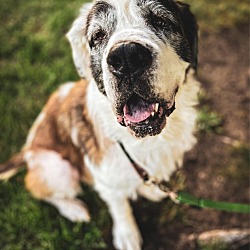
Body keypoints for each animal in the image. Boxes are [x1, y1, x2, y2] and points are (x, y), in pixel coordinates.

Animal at [0, 0, 200, 249]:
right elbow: (119, 205)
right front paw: (127, 234)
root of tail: (26, 150)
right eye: (98, 36)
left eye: (160, 21)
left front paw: (149, 190)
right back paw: (73, 208)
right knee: (39, 189)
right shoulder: (105, 180)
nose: (126, 56)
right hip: (56, 167)